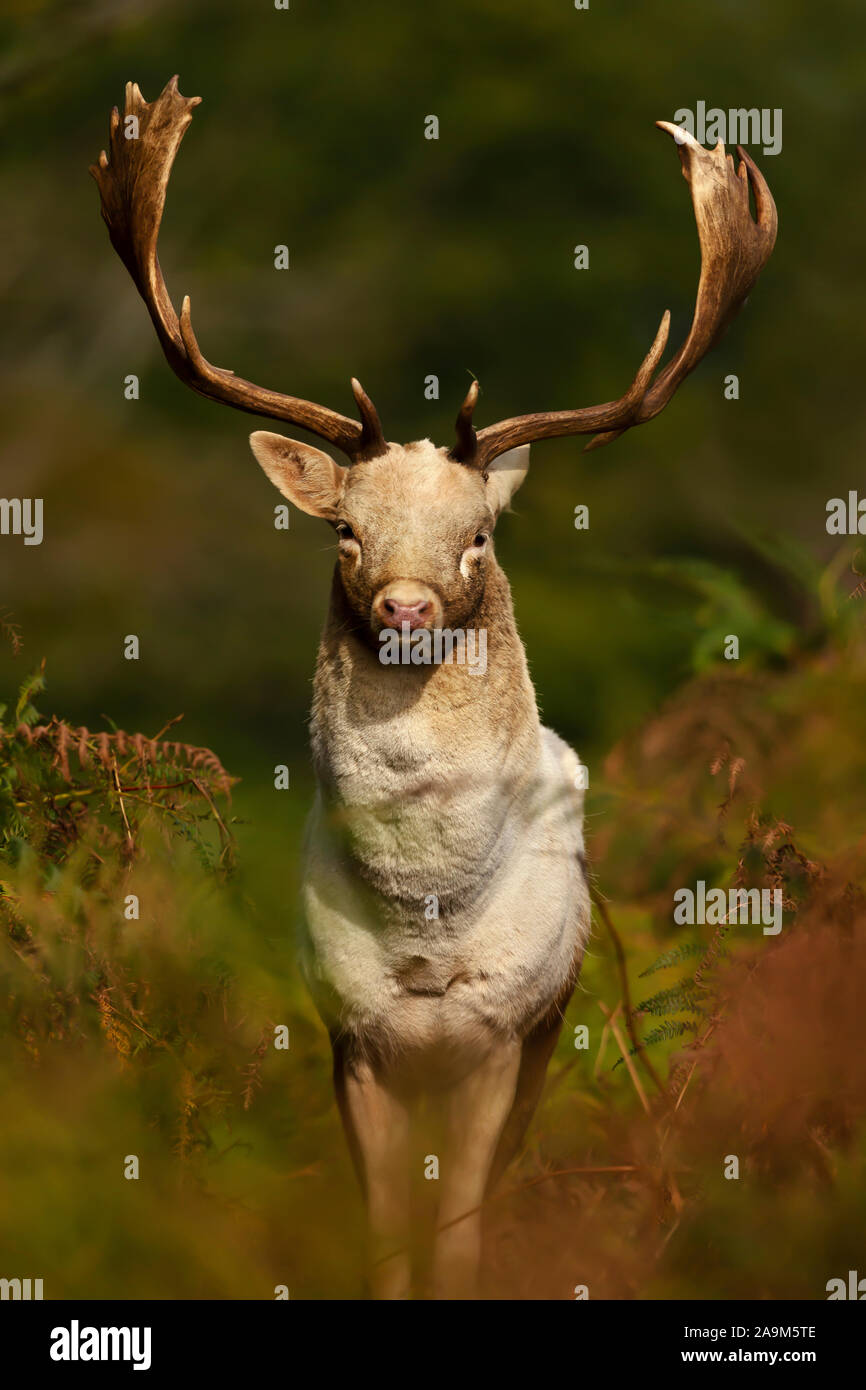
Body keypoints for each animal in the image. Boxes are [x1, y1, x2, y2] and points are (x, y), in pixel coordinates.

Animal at [89, 78, 778, 1301]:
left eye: (478, 534)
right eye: (345, 530)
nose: (408, 609)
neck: (424, 933)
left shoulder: (502, 1035)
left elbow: (455, 1238)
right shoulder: (350, 1036)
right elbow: (383, 1237)